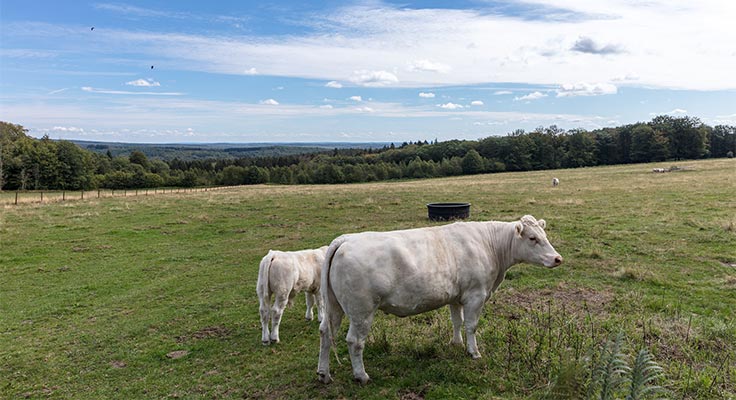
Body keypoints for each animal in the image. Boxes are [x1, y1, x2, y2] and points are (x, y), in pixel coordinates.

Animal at [316, 216, 564, 384]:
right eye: (532, 238)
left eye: (544, 236)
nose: (557, 258)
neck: (490, 246)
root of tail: (346, 239)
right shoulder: (476, 295)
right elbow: (471, 325)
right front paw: (474, 352)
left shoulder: (456, 296)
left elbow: (457, 321)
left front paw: (456, 343)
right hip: (362, 310)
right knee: (354, 341)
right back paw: (361, 375)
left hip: (335, 306)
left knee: (326, 333)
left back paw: (323, 373)